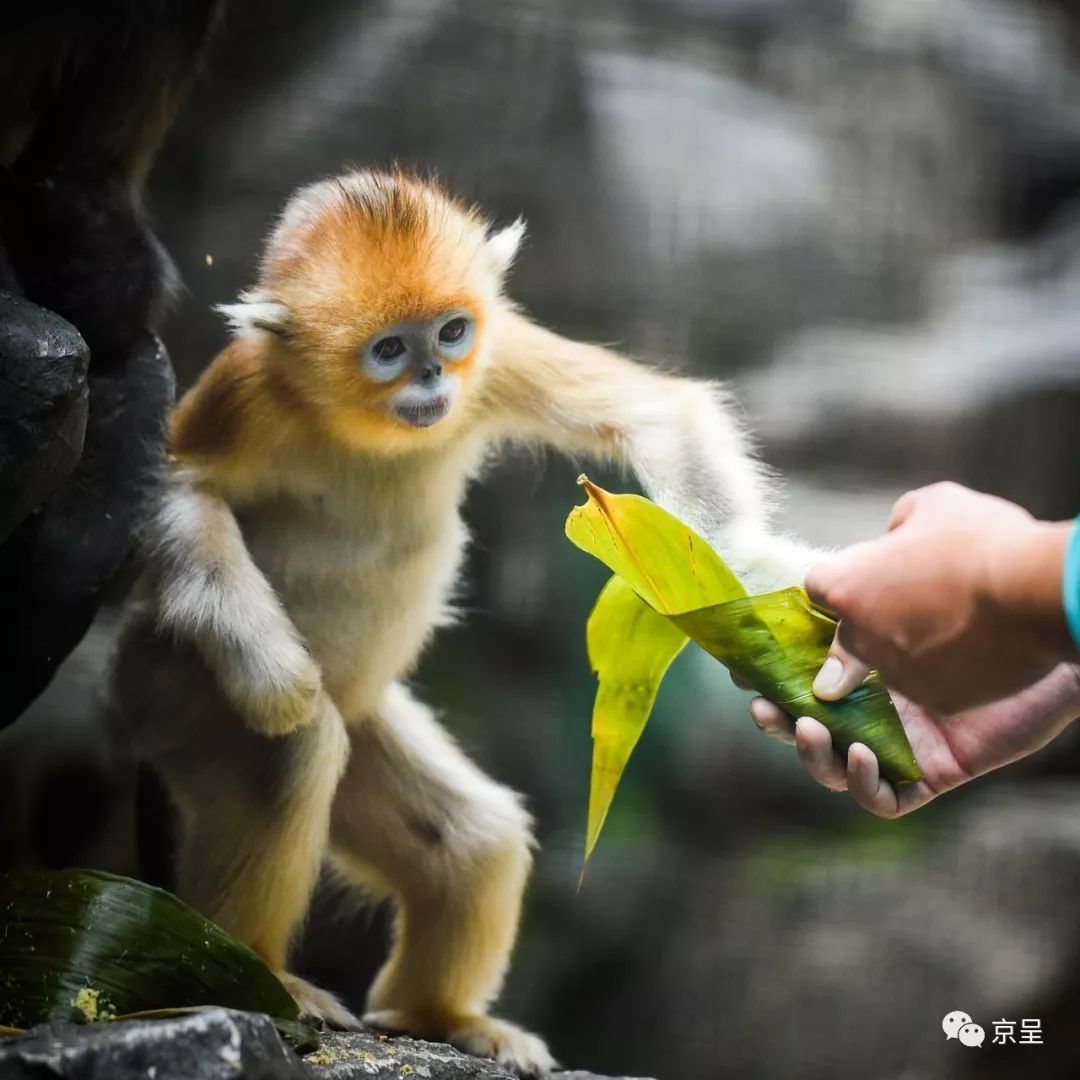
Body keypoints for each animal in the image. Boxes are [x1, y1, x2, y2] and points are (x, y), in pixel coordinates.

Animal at [109, 168, 812, 1071]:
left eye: (449, 332)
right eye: (388, 350)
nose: (433, 381)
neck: (365, 430)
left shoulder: (497, 349)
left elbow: (658, 413)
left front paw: (743, 572)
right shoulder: (249, 388)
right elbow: (179, 491)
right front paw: (275, 678)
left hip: (365, 727)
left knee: (473, 840)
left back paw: (438, 1015)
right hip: (172, 689)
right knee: (294, 754)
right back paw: (263, 975)